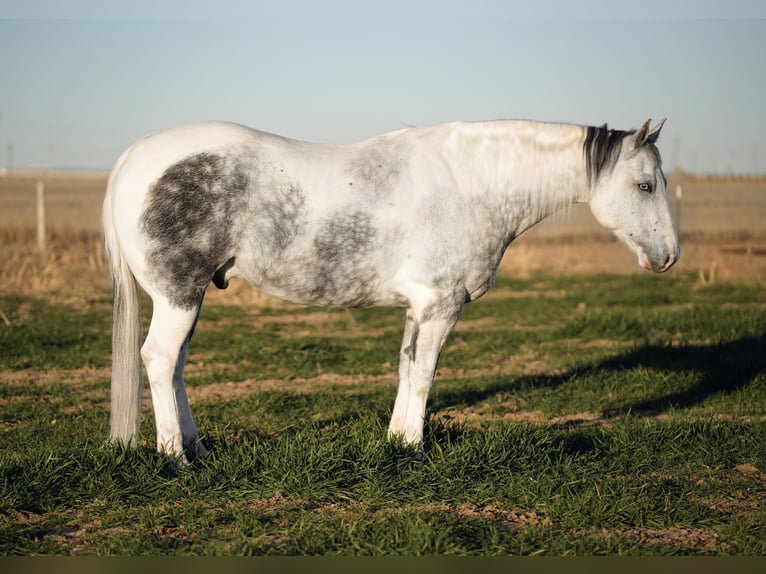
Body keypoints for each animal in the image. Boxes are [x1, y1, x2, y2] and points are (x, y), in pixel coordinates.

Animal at [100, 117, 680, 464]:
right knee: (159, 359)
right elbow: (424, 375)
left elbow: (406, 369)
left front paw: (398, 442)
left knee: (175, 366)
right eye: (646, 185)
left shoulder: (418, 308)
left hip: (190, 298)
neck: (471, 184)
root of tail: (134, 158)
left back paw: (197, 447)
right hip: (178, 296)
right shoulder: (441, 305)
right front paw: (416, 449)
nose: (669, 256)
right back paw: (175, 457)